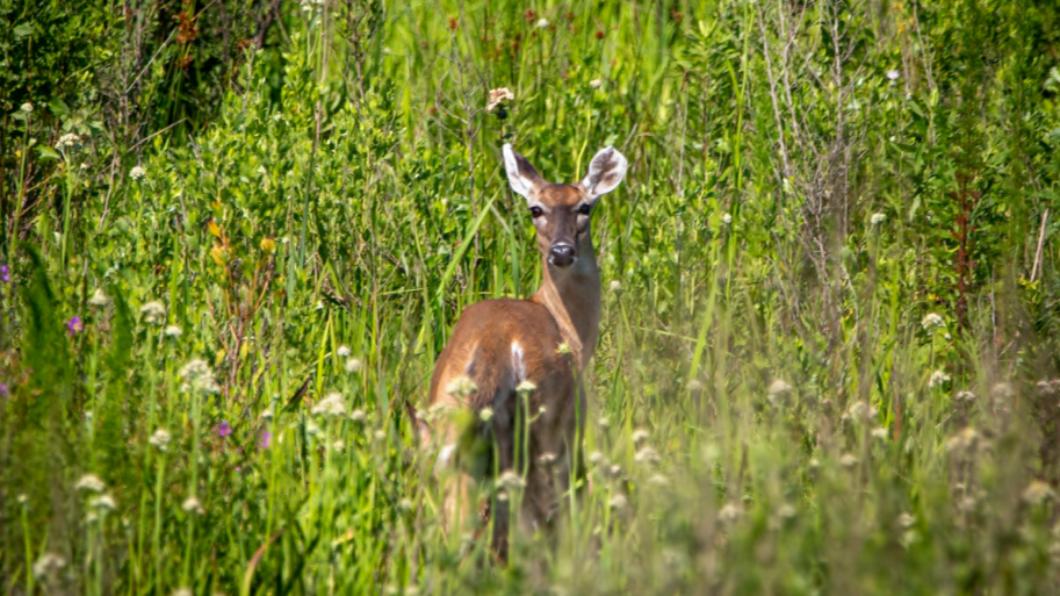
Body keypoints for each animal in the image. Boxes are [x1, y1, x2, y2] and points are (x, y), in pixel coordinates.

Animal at [423, 143, 628, 560]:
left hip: (452, 429)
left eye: (585, 207)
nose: (562, 251)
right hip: (544, 425)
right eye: (536, 209)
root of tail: (497, 351)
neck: (571, 330)